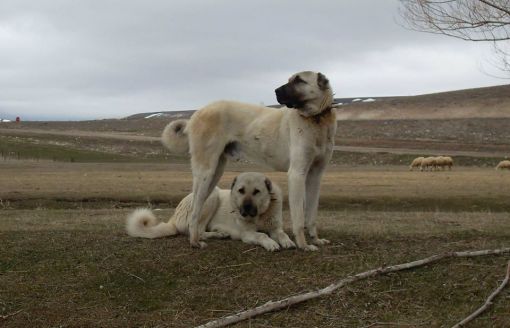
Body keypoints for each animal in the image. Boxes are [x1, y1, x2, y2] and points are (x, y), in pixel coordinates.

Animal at [125, 172, 296, 251]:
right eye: (241, 190)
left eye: (256, 191)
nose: (245, 208)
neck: (260, 214)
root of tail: (174, 217)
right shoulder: (247, 234)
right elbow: (261, 235)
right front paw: (271, 243)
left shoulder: (275, 228)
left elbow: (282, 233)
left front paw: (287, 241)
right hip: (212, 195)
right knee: (197, 231)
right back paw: (219, 234)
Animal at [160, 71, 334, 251]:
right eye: (291, 80)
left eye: (299, 80)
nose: (276, 91)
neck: (317, 119)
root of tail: (196, 114)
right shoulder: (296, 174)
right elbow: (299, 217)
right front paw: (303, 245)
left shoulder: (315, 176)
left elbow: (311, 214)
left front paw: (315, 239)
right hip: (205, 173)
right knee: (195, 211)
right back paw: (194, 241)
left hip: (215, 173)